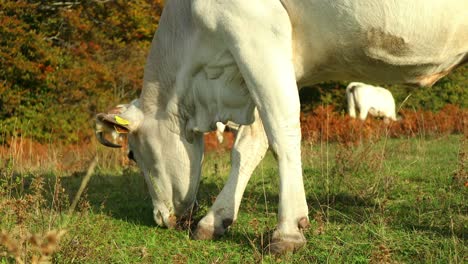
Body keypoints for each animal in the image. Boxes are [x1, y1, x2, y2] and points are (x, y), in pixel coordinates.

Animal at [95, 0, 468, 254]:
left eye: (132, 155)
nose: (160, 218)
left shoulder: (255, 32)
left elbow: (282, 130)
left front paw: (287, 231)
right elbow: (248, 147)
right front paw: (215, 219)